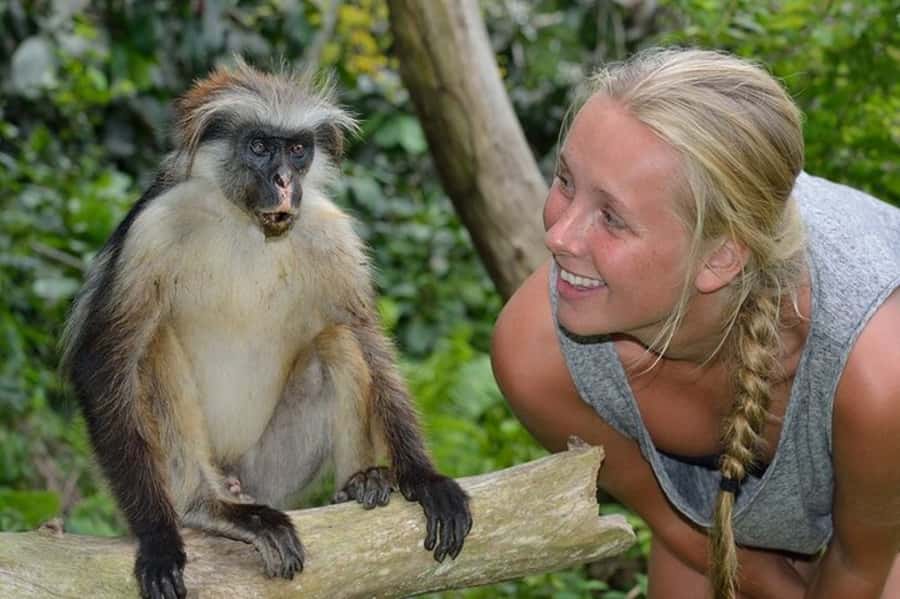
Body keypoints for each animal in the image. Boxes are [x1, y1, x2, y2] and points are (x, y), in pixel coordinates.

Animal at [61, 58, 472, 599]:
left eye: (297, 150)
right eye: (258, 146)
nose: (282, 180)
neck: (247, 224)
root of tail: (234, 472)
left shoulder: (329, 230)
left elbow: (367, 341)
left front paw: (424, 478)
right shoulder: (154, 226)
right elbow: (103, 361)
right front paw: (157, 537)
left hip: (271, 470)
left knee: (336, 340)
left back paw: (359, 484)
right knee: (152, 347)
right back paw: (208, 507)